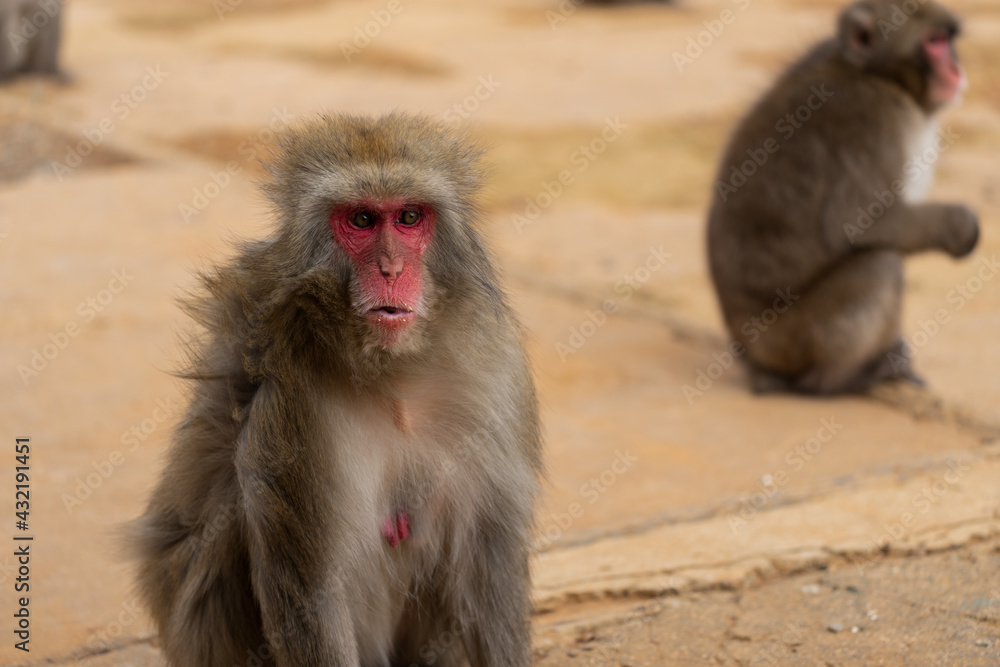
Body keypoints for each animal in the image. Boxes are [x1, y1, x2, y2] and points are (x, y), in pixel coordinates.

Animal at [130, 113, 542, 666]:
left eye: (409, 217)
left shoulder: (496, 374)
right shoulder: (291, 388)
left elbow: (488, 563)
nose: (392, 269)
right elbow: (309, 588)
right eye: (362, 220)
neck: (389, 374)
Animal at [706, 0, 979, 395]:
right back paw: (838, 379)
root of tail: (750, 357)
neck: (880, 76)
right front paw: (960, 225)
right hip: (792, 340)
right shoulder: (871, 116)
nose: (956, 69)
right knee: (880, 264)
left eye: (947, 39)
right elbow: (857, 223)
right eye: (933, 42)